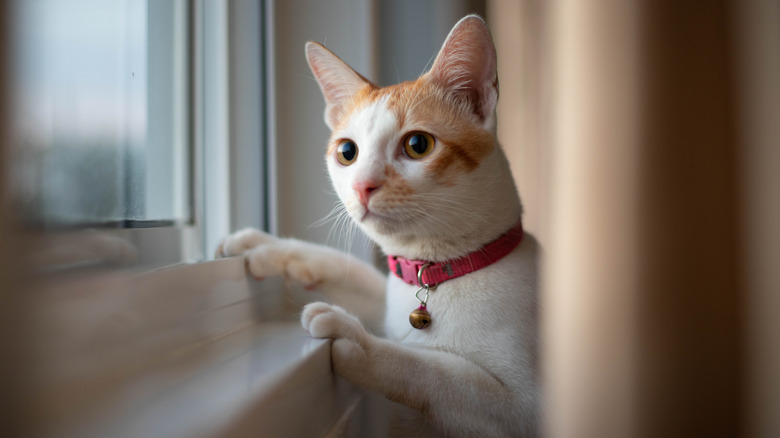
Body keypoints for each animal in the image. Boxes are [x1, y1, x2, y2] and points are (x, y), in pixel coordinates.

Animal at [216, 14, 540, 438]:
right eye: (347, 152)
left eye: (418, 145)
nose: (361, 186)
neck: (438, 273)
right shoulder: (388, 297)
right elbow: (351, 272)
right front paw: (271, 248)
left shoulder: (521, 408)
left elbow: (433, 368)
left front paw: (356, 339)